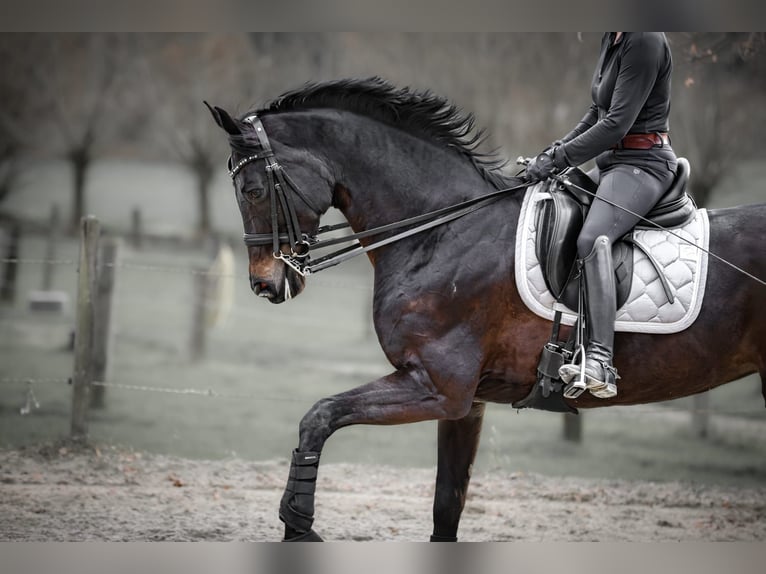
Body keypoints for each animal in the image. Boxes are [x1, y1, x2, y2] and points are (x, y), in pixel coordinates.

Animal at [206, 77, 766, 544]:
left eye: (252, 190)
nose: (264, 283)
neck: (442, 229)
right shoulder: (465, 403)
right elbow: (446, 506)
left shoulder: (436, 387)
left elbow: (318, 416)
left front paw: (298, 525)